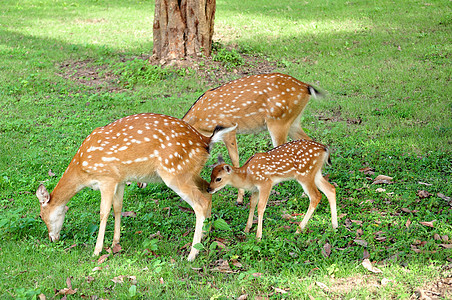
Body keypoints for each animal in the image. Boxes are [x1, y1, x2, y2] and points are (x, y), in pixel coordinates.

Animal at [35, 112, 235, 260]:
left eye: (41, 216)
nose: (52, 238)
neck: (82, 169)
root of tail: (206, 141)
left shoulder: (106, 177)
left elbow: (103, 212)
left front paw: (97, 250)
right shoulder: (120, 179)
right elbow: (118, 207)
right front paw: (115, 243)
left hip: (174, 171)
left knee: (200, 203)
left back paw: (192, 254)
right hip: (190, 172)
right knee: (208, 193)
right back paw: (205, 238)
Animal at [181, 72, 322, 204]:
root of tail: (305, 86)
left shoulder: (228, 128)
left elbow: (234, 159)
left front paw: (240, 198)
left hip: (278, 121)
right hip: (293, 122)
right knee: (309, 141)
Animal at [207, 139, 338, 240]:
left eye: (218, 179)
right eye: (211, 176)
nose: (209, 189)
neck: (247, 176)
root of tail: (324, 149)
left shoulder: (266, 183)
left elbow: (261, 207)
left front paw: (258, 236)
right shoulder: (255, 189)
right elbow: (252, 204)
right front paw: (247, 229)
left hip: (305, 174)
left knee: (316, 196)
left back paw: (299, 229)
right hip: (315, 173)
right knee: (331, 189)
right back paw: (334, 226)